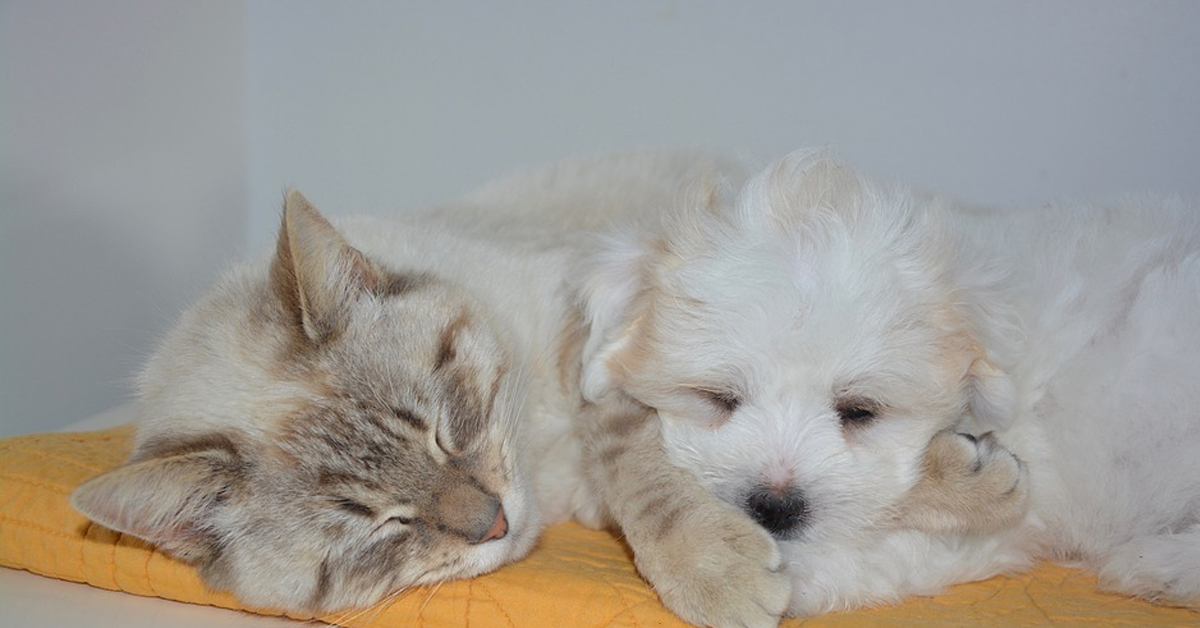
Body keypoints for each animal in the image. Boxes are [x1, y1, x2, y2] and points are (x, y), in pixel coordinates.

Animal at [70, 154, 1027, 624]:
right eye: (383, 527)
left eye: (445, 428)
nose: (493, 523)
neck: (540, 449)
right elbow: (698, 475)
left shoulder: (595, 347)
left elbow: (652, 474)